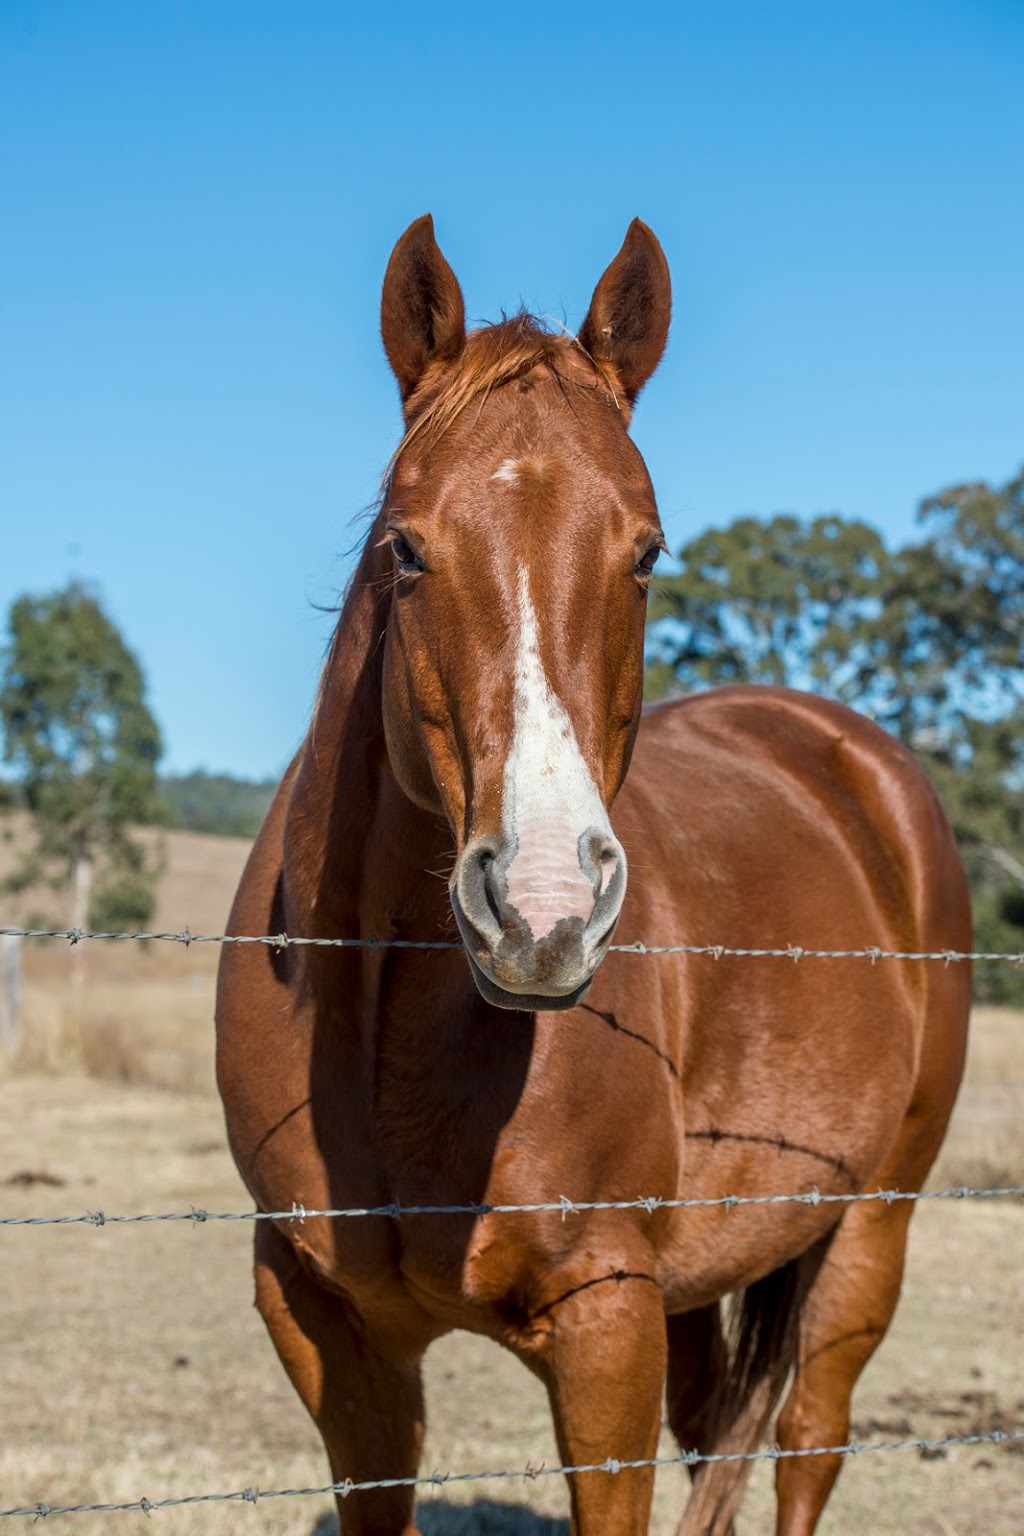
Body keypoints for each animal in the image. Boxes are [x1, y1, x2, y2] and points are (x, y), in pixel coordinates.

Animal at [214, 219, 970, 1536]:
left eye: (646, 552)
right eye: (404, 548)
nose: (543, 912)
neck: (384, 1026)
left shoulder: (606, 1323)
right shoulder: (327, 1333)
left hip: (869, 1227)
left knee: (806, 1446)